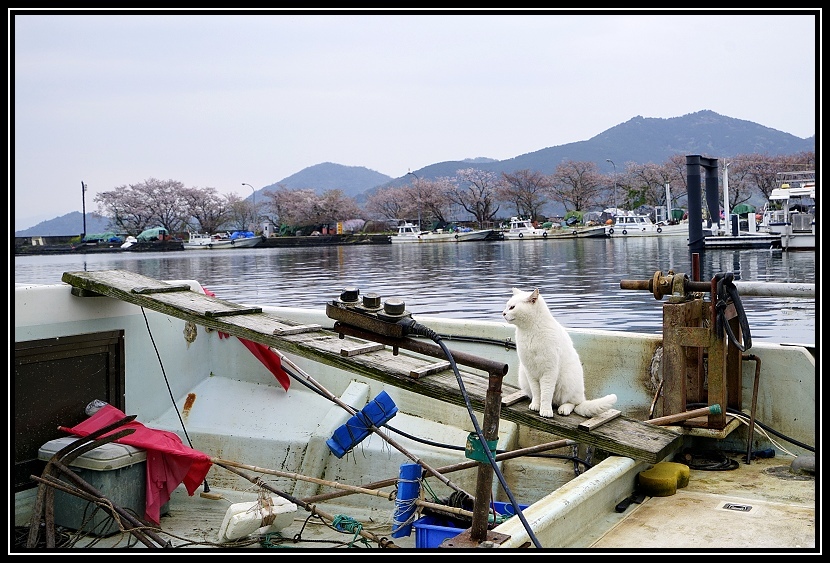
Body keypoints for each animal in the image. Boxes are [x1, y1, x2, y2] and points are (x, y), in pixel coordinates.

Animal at [504, 288, 616, 416]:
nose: (503, 313)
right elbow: (537, 392)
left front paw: (545, 410)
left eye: (512, 307)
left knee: (573, 403)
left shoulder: (549, 371)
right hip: (523, 376)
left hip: (567, 381)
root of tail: (583, 398)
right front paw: (536, 405)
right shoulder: (530, 371)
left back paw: (564, 409)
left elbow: (546, 394)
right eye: (507, 306)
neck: (529, 331)